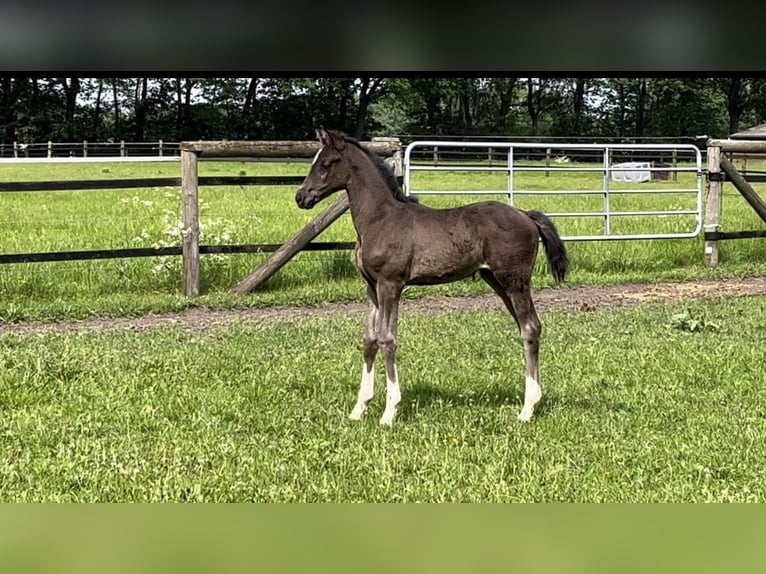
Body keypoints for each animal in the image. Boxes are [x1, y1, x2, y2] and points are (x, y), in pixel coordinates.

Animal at [296, 130, 568, 428]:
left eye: (325, 164)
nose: (301, 197)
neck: (380, 219)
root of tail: (526, 216)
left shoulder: (391, 284)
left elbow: (387, 340)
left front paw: (389, 412)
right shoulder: (371, 287)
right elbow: (369, 341)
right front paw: (359, 409)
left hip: (514, 280)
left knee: (530, 327)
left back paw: (527, 408)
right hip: (497, 281)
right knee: (527, 327)